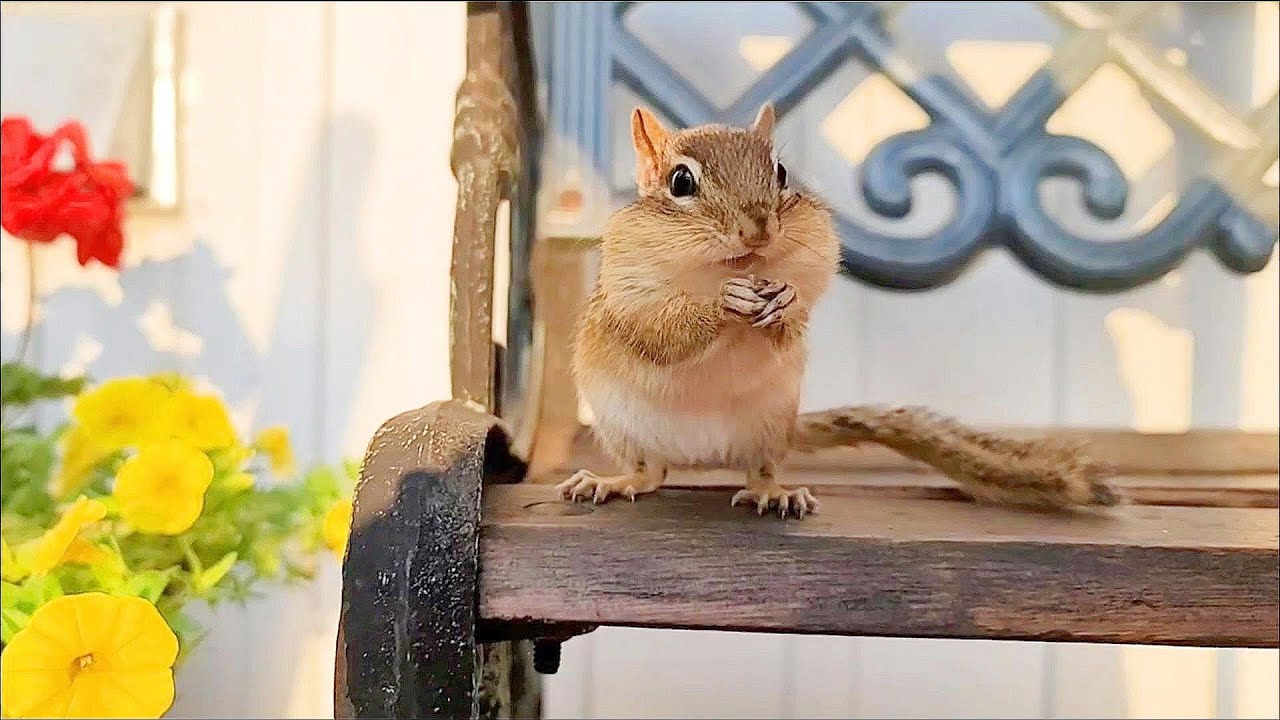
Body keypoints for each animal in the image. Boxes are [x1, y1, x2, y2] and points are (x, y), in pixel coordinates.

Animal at [557, 103, 1121, 518]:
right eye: (680, 182)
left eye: (781, 173)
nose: (759, 229)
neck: (726, 268)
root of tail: (704, 458)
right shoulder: (628, 293)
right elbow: (661, 330)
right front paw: (723, 303)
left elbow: (794, 315)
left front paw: (784, 303)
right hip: (627, 429)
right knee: (650, 474)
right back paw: (613, 481)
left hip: (768, 430)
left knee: (759, 470)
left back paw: (775, 493)